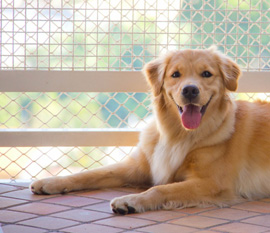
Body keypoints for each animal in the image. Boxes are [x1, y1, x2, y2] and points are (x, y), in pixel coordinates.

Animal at [30, 47, 270, 215]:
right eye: (175, 74)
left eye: (206, 74)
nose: (190, 90)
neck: (178, 135)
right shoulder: (139, 166)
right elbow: (91, 173)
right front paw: (51, 182)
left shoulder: (213, 183)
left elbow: (161, 189)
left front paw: (130, 201)